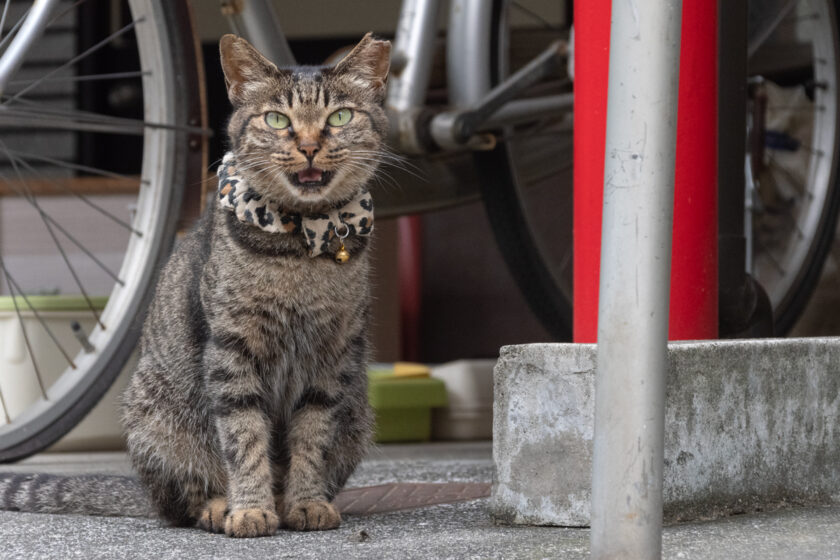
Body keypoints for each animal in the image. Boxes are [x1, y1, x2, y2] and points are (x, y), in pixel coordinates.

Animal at [120, 31, 388, 540]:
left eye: (339, 117)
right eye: (277, 119)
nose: (309, 145)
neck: (301, 248)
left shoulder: (332, 357)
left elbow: (311, 438)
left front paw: (305, 502)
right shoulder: (232, 351)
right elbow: (244, 438)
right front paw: (249, 509)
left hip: (360, 415)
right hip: (155, 418)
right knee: (181, 500)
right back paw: (218, 507)